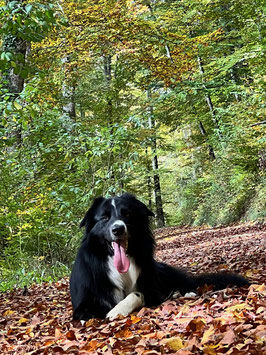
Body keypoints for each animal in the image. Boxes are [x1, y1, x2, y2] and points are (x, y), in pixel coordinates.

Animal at [69, 193, 248, 322]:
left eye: (127, 214)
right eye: (104, 218)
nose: (118, 229)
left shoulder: (152, 291)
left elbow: (136, 294)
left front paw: (118, 309)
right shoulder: (82, 305)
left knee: (188, 285)